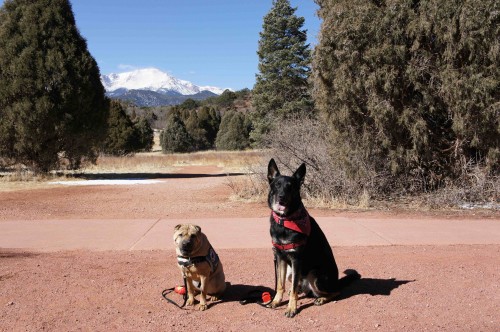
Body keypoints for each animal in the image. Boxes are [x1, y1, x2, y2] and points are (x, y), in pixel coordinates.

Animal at [268, 160, 358, 318]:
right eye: (277, 185)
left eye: (290, 187)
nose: (281, 197)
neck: (285, 221)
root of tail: (336, 281)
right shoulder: (280, 257)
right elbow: (280, 284)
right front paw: (276, 301)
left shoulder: (296, 259)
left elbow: (293, 291)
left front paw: (291, 308)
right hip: (292, 273)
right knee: (297, 286)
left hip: (315, 275)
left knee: (336, 292)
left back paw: (321, 299)